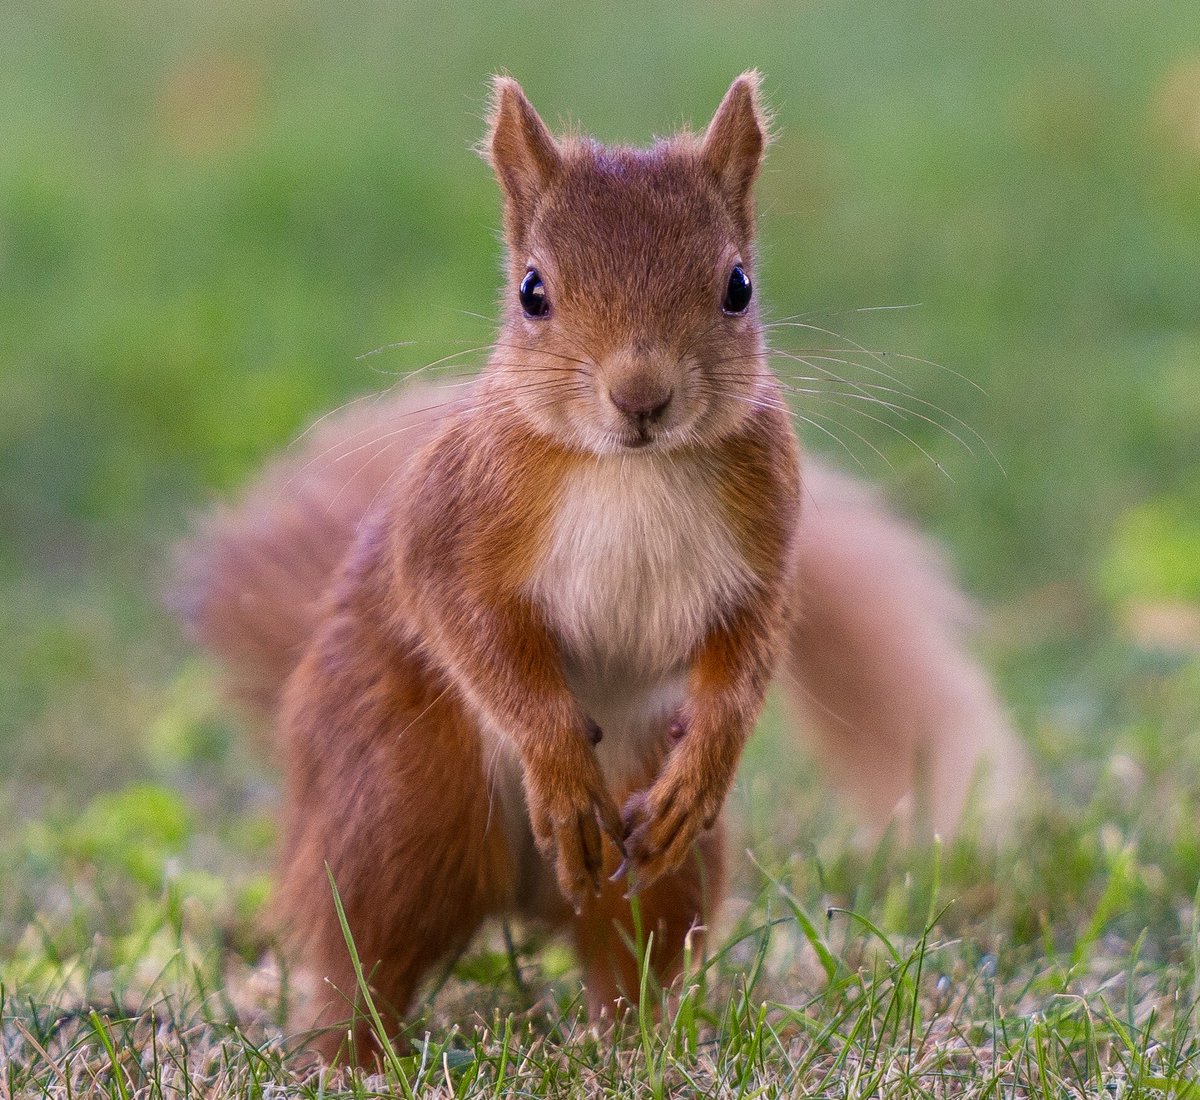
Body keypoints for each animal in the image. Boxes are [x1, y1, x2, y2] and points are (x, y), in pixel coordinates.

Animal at [174, 73, 1021, 1062]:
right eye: (533, 292)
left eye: (738, 286)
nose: (641, 395)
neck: (632, 470)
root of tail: (525, 893)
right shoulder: (449, 529)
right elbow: (473, 631)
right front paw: (554, 761)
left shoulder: (766, 544)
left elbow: (751, 649)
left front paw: (708, 762)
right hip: (398, 805)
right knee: (361, 955)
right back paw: (350, 1056)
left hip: (652, 854)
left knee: (627, 953)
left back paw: (638, 1047)